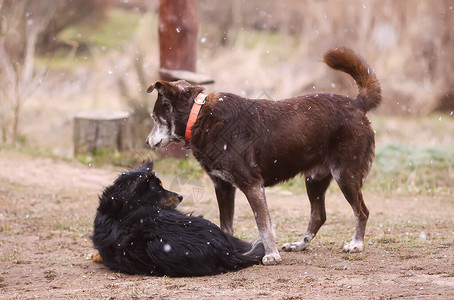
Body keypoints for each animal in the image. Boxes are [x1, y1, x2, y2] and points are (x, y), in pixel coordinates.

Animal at [145, 47, 380, 264]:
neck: (199, 116)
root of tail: (357, 104)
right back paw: (299, 245)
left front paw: (271, 255)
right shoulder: (223, 186)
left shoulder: (252, 185)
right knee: (318, 216)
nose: (147, 142)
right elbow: (226, 226)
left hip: (345, 175)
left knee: (362, 211)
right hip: (314, 179)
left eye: (155, 117)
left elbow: (263, 224)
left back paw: (356, 244)